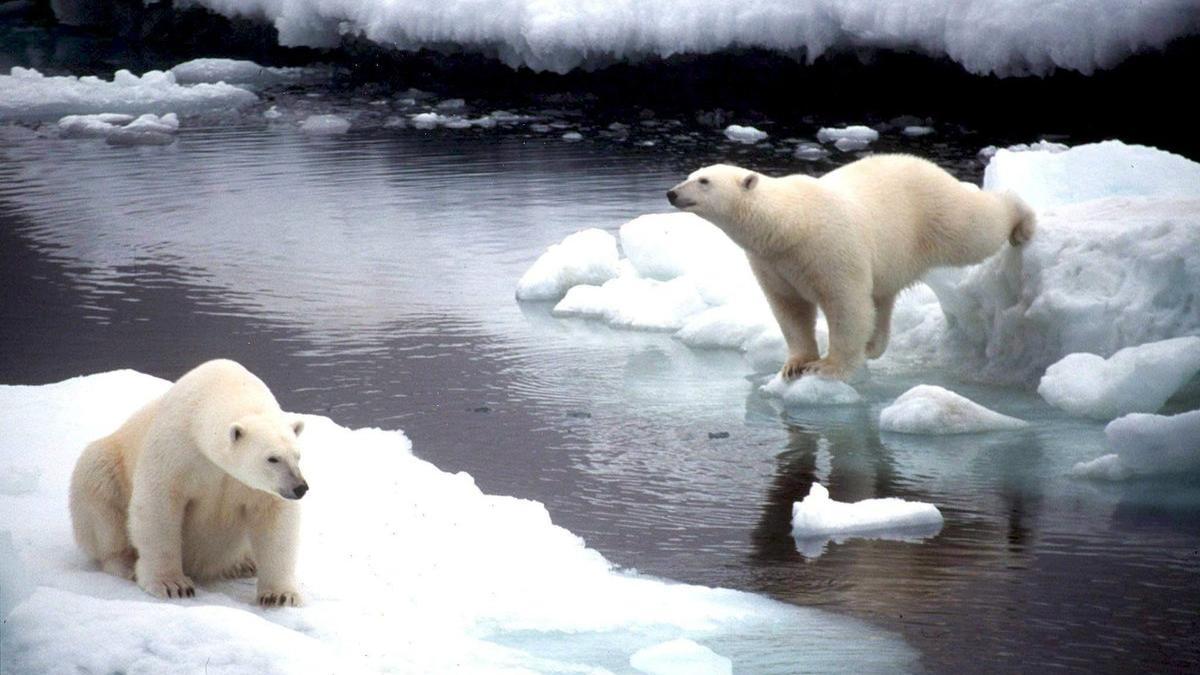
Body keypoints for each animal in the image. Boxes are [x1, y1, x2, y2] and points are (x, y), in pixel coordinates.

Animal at [69, 357, 309, 605]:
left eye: (297, 455)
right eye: (273, 458)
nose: (300, 488)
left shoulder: (253, 486)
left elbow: (274, 518)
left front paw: (279, 595)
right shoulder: (177, 450)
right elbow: (159, 505)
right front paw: (172, 585)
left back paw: (243, 564)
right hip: (106, 466)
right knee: (101, 500)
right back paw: (125, 563)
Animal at [667, 156, 1032, 379]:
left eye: (704, 181)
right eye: (690, 176)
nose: (671, 193)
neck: (790, 224)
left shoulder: (829, 248)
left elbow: (846, 304)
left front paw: (827, 367)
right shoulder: (772, 262)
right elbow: (790, 308)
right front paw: (794, 365)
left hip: (933, 213)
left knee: (975, 228)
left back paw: (1021, 221)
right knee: (882, 297)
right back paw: (873, 345)